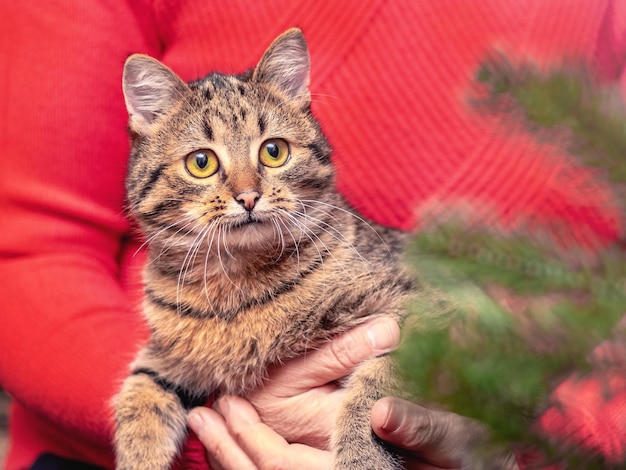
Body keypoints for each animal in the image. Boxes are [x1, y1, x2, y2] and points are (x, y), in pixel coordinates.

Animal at [113, 27, 414, 468]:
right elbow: (139, 400)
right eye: (201, 162)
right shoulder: (163, 361)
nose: (248, 196)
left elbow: (374, 389)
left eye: (274, 151)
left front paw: (362, 457)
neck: (235, 283)